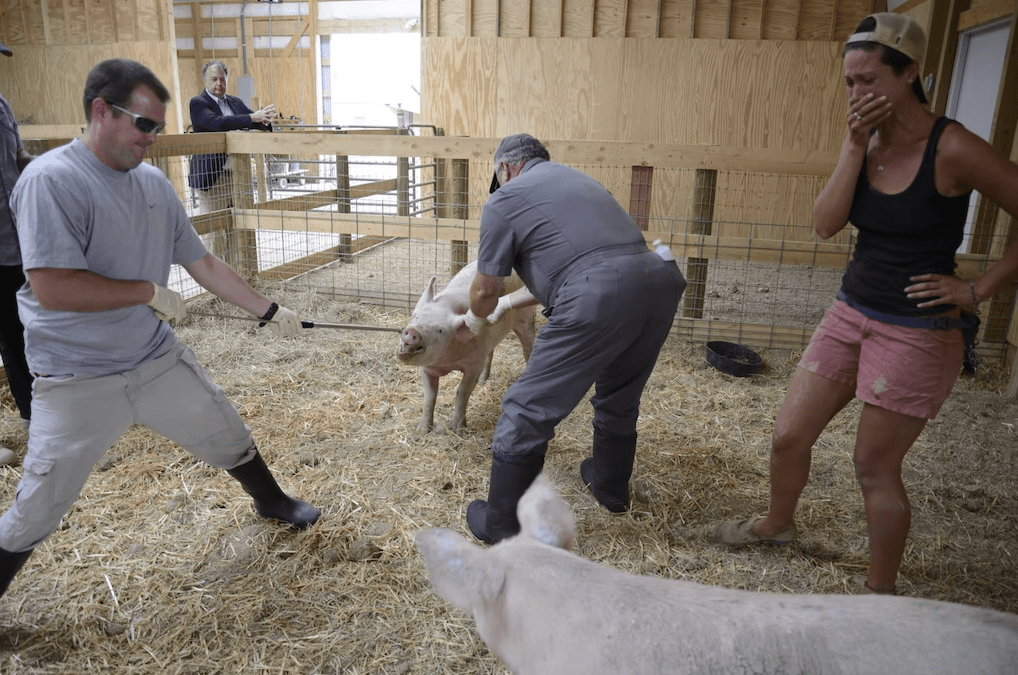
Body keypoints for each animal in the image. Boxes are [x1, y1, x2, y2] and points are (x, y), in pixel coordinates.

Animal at [394, 258, 537, 433]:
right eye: (416, 317)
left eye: (440, 330)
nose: (412, 332)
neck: (446, 363)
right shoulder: (426, 369)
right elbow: (429, 396)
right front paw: (422, 430)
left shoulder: (473, 365)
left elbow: (461, 393)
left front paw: (456, 429)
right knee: (491, 352)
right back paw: (482, 382)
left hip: (526, 317)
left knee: (528, 345)